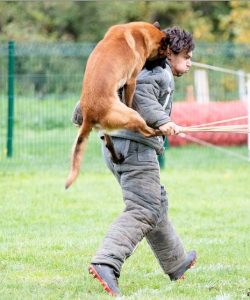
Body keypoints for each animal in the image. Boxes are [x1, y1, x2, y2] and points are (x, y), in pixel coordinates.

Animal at [65, 22, 169, 189]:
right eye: (164, 55)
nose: (165, 65)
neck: (141, 33)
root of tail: (89, 113)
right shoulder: (131, 80)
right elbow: (130, 100)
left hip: (107, 129)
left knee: (109, 144)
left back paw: (117, 157)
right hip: (132, 115)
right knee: (147, 132)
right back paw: (159, 131)